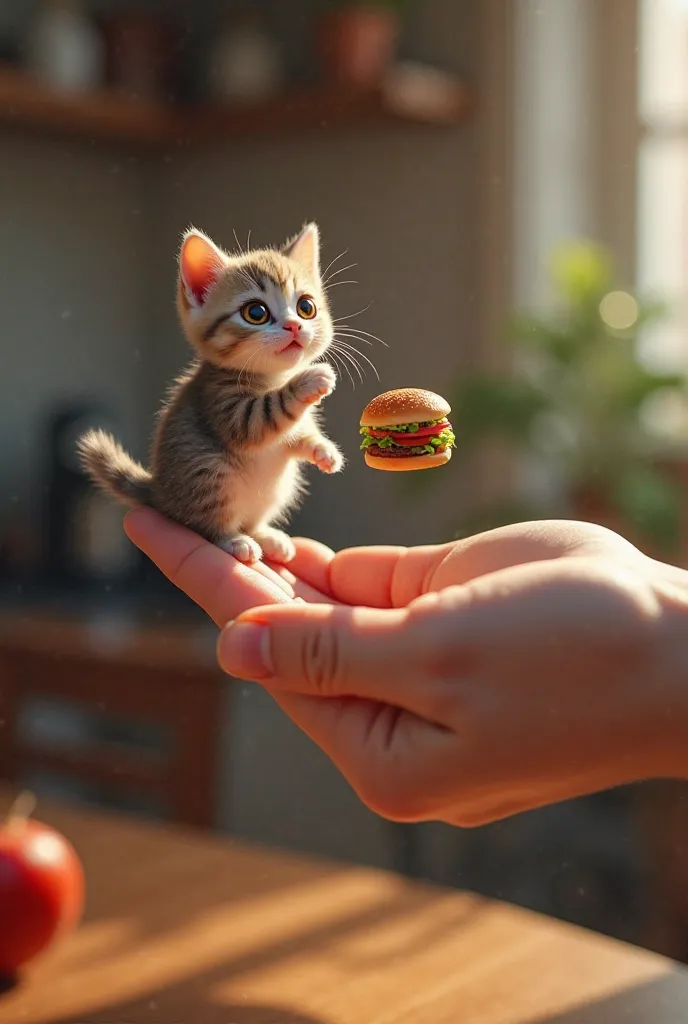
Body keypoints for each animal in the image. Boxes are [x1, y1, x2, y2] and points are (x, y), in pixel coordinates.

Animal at [79, 219, 344, 565]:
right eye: (255, 313)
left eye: (306, 307)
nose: (294, 326)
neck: (272, 377)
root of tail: (159, 493)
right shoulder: (222, 405)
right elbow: (265, 414)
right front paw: (309, 380)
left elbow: (298, 436)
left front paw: (324, 450)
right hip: (209, 471)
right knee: (204, 522)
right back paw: (234, 541)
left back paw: (266, 537)